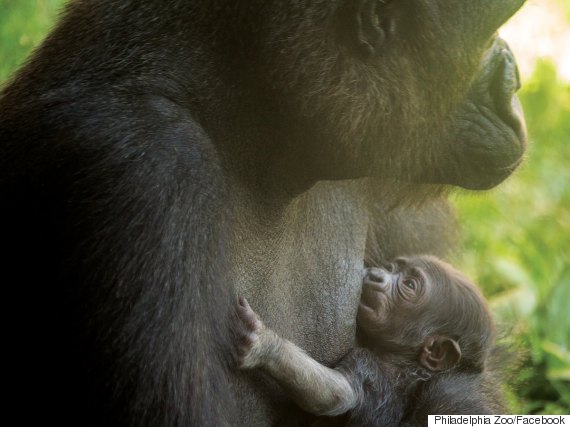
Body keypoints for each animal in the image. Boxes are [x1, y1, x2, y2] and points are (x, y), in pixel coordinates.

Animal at [235, 256, 496, 426]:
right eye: (391, 268)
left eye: (409, 285)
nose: (377, 275)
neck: (403, 363)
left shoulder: (368, 367)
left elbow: (336, 393)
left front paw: (266, 345)